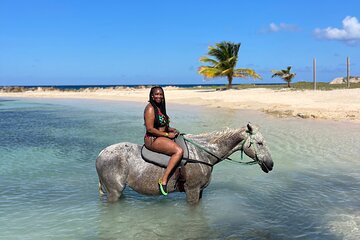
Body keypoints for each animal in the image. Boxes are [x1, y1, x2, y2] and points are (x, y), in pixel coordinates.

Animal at [95, 124, 272, 204]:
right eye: (260, 143)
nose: (270, 164)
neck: (202, 153)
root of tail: (100, 154)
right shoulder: (192, 191)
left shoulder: (199, 191)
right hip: (114, 192)